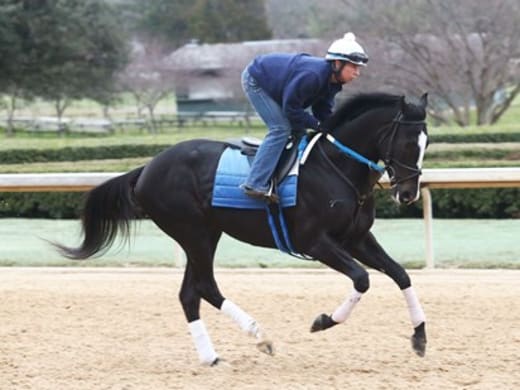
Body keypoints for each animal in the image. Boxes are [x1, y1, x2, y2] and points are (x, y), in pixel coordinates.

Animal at [55, 91, 430, 366]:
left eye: (427, 143)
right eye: (409, 143)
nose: (408, 193)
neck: (336, 167)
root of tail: (147, 168)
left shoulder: (356, 238)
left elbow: (400, 274)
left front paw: (420, 336)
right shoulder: (314, 241)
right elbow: (362, 279)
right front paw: (324, 321)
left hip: (206, 233)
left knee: (190, 293)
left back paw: (211, 356)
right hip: (193, 232)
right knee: (206, 286)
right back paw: (259, 336)